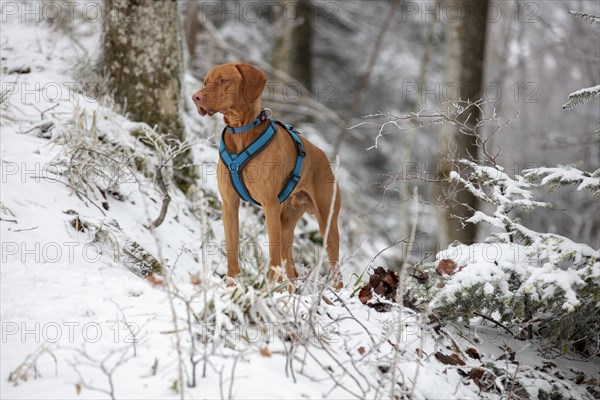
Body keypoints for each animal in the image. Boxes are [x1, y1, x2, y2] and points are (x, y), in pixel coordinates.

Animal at [193, 62, 342, 288]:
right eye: (205, 81)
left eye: (223, 80)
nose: (196, 97)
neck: (241, 132)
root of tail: (324, 156)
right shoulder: (229, 205)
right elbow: (232, 251)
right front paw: (231, 286)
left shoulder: (270, 206)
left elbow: (273, 256)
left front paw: (268, 288)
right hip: (287, 222)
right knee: (292, 269)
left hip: (327, 223)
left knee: (336, 271)